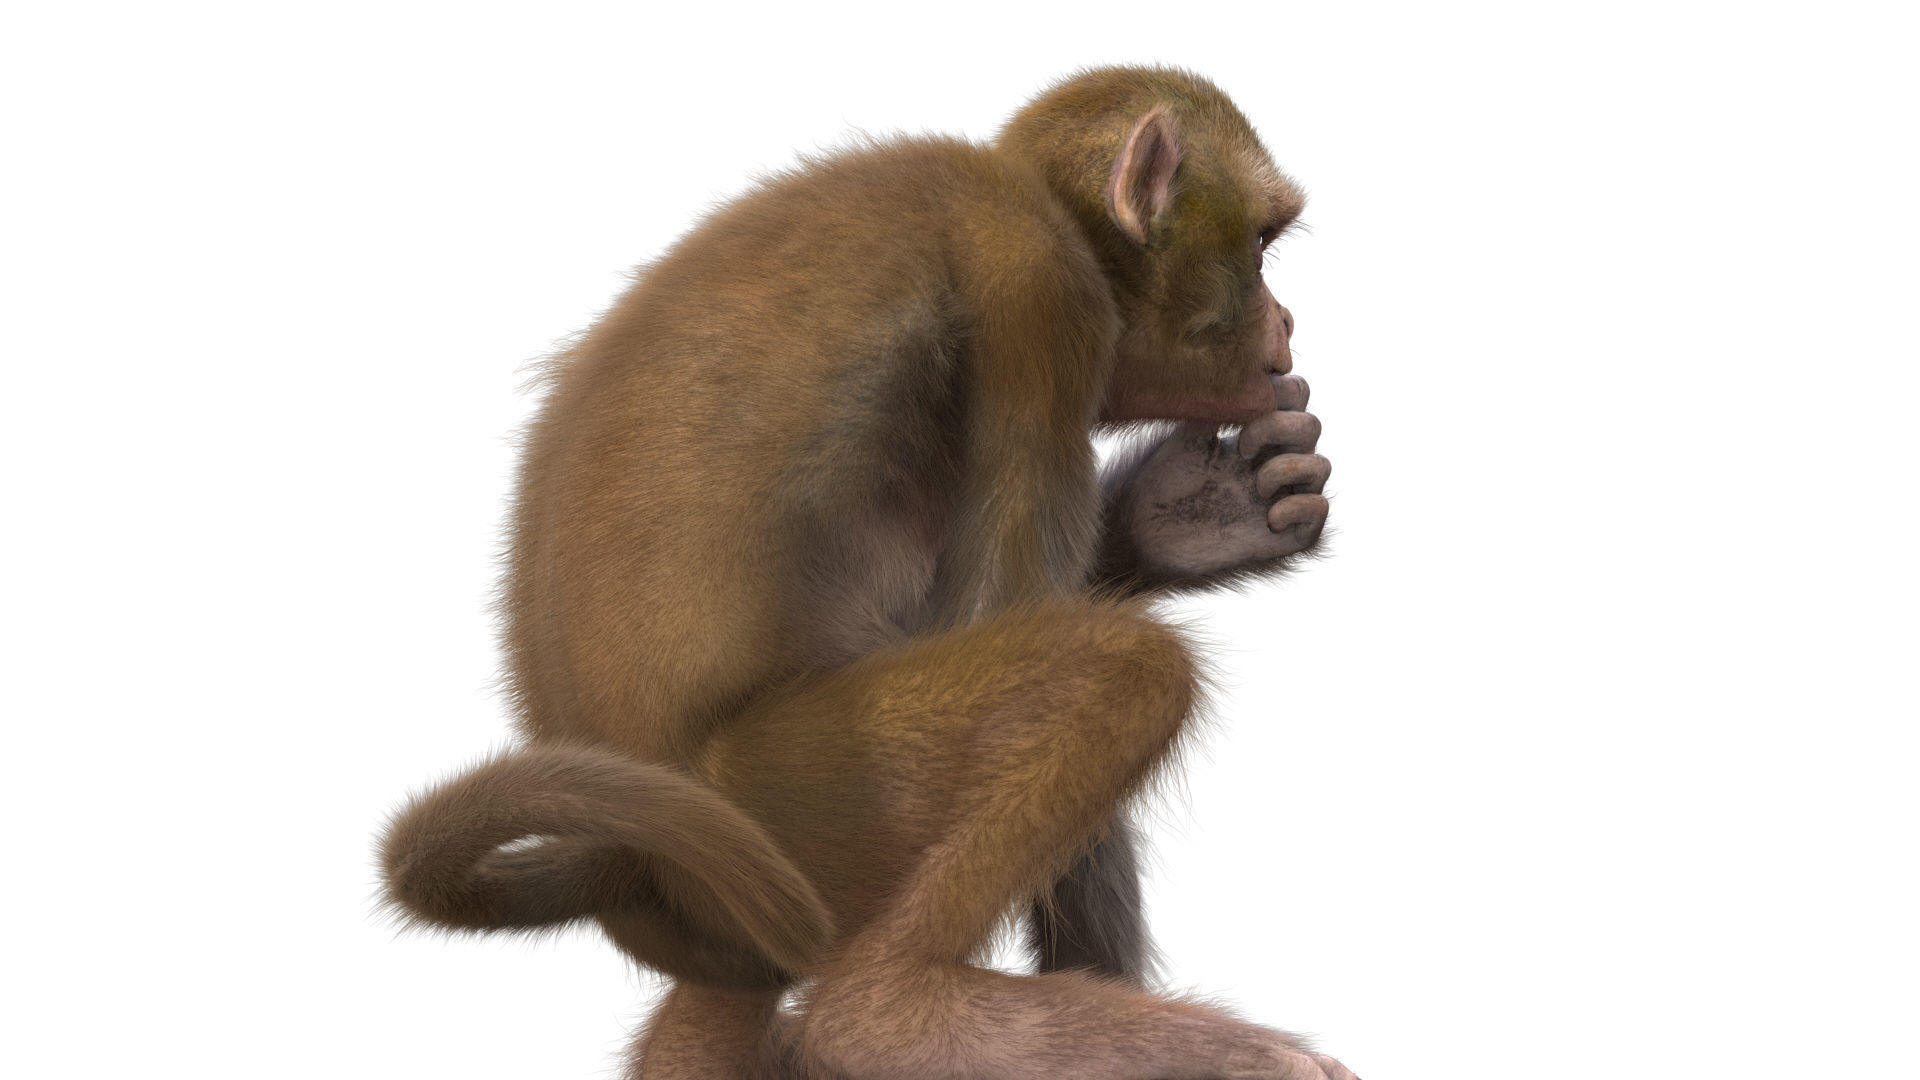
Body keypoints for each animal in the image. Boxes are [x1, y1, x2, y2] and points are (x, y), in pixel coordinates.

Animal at [379, 66, 1353, 1080]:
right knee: (1121, 667)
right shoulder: (1041, 290)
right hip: (791, 800)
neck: (1039, 200)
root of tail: (626, 861)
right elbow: (1001, 605)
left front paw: (1185, 519)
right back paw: (891, 1013)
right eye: (1259, 246)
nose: (1287, 319)